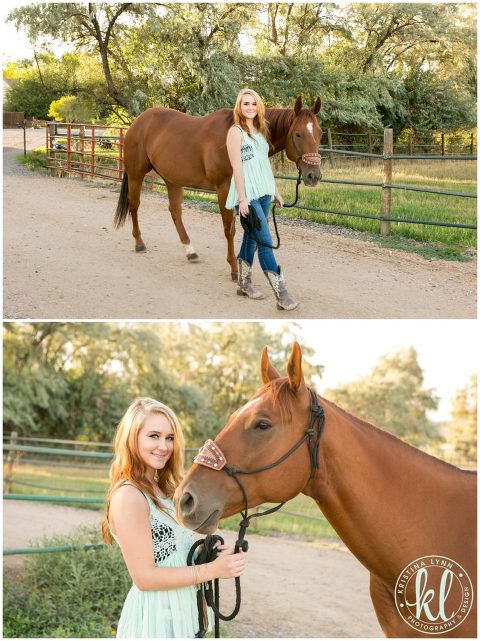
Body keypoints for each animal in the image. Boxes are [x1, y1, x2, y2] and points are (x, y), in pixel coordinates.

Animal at [114, 96, 322, 281]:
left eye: (319, 133)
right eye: (298, 134)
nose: (314, 175)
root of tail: (138, 122)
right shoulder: (224, 190)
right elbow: (229, 229)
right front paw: (234, 269)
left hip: (172, 180)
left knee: (175, 212)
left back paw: (190, 251)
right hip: (136, 174)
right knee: (134, 205)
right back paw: (139, 243)